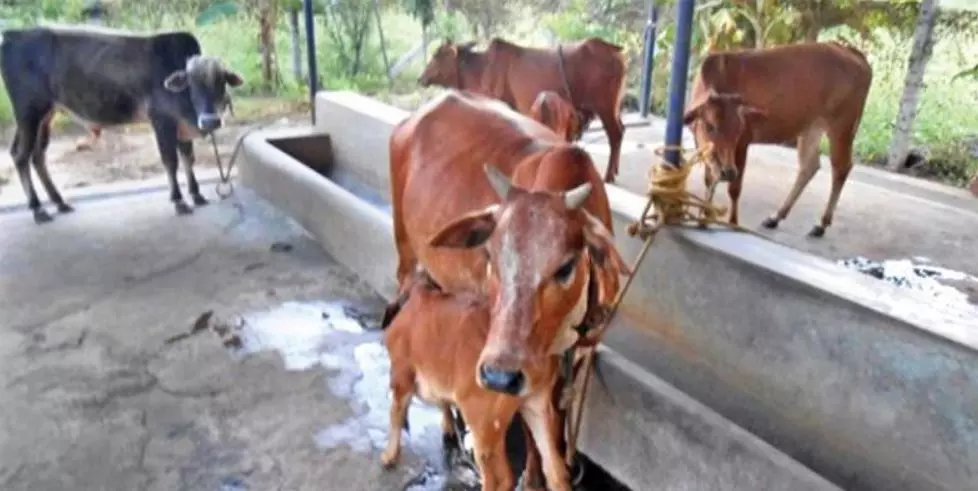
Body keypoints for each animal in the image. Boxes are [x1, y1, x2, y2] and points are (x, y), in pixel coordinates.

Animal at [0, 26, 243, 225]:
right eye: (192, 84)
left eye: (221, 82)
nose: (210, 120)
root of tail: (12, 35)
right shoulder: (162, 121)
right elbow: (171, 162)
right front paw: (179, 201)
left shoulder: (181, 128)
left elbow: (187, 158)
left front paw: (197, 194)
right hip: (29, 112)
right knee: (21, 155)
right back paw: (38, 209)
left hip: (45, 115)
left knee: (37, 155)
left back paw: (59, 202)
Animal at [380, 272, 568, 491]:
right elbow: (443, 404)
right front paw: (448, 429)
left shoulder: (401, 376)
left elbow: (395, 415)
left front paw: (389, 456)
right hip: (536, 409)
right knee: (556, 472)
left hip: (483, 425)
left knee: (500, 477)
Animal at [418, 38, 628, 184]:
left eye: (437, 54)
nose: (421, 78)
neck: (480, 69)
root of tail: (614, 50)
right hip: (614, 107)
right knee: (621, 130)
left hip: (605, 107)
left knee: (615, 134)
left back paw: (609, 175)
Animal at [680, 41, 868, 237]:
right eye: (710, 126)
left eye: (739, 129)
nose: (728, 172)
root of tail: (852, 52)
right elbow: (709, 180)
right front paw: (702, 219)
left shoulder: (743, 142)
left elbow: (734, 189)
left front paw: (733, 223)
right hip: (811, 128)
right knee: (809, 166)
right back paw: (776, 217)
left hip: (842, 125)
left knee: (841, 168)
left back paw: (821, 224)